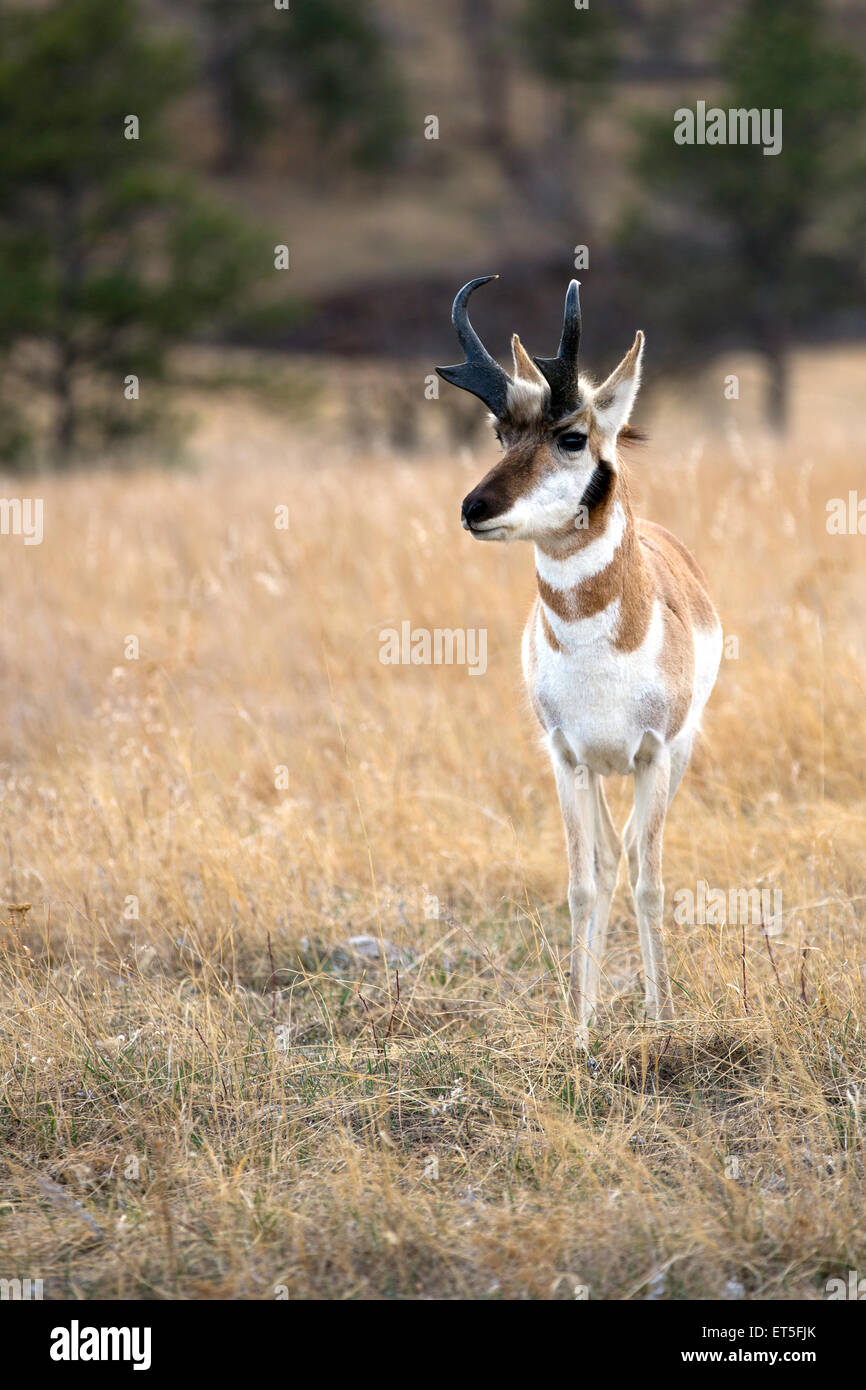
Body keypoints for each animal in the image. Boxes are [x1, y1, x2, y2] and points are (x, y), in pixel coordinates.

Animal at [437, 276, 722, 1039]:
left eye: (571, 437)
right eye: (501, 433)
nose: (475, 508)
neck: (602, 657)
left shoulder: (654, 755)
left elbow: (651, 882)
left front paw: (664, 1021)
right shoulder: (567, 758)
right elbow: (581, 883)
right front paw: (578, 1028)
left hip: (675, 758)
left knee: (632, 854)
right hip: (597, 772)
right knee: (607, 856)